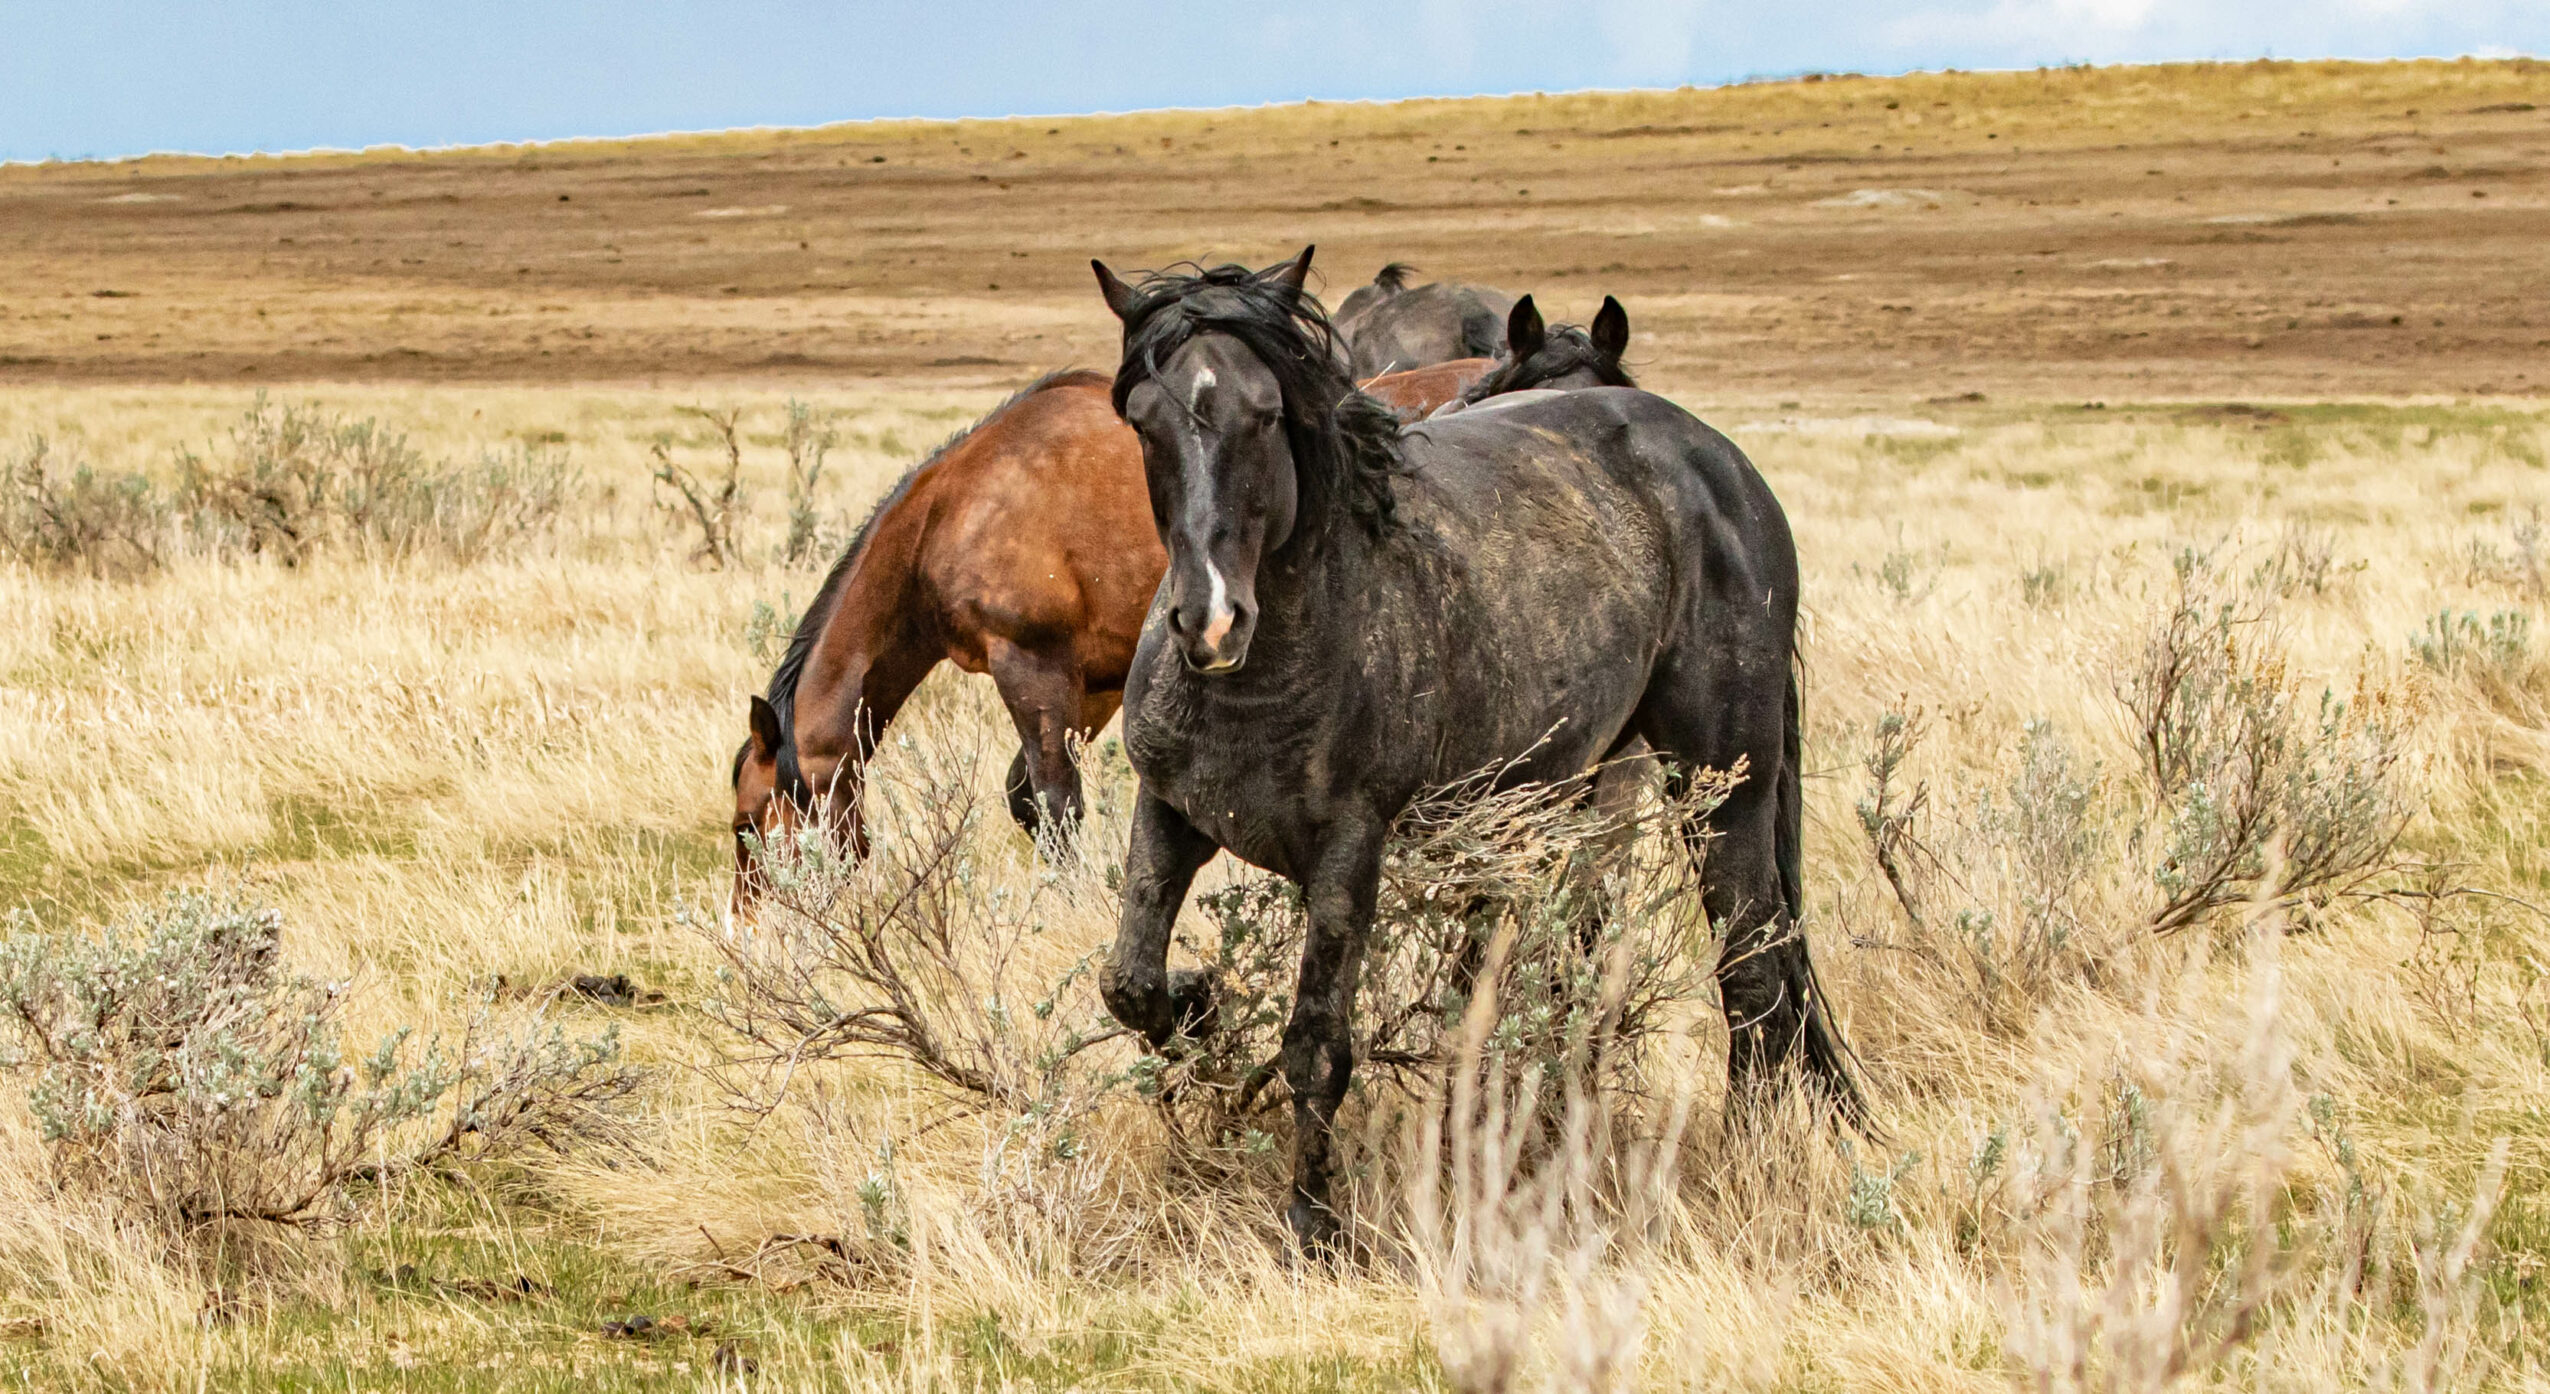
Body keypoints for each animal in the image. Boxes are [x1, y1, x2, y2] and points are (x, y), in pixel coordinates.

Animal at [731, 370, 1160, 908]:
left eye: (745, 824)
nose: (745, 919)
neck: (945, 517)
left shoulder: (1032, 666)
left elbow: (1053, 803)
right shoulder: (1096, 682)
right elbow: (1027, 797)